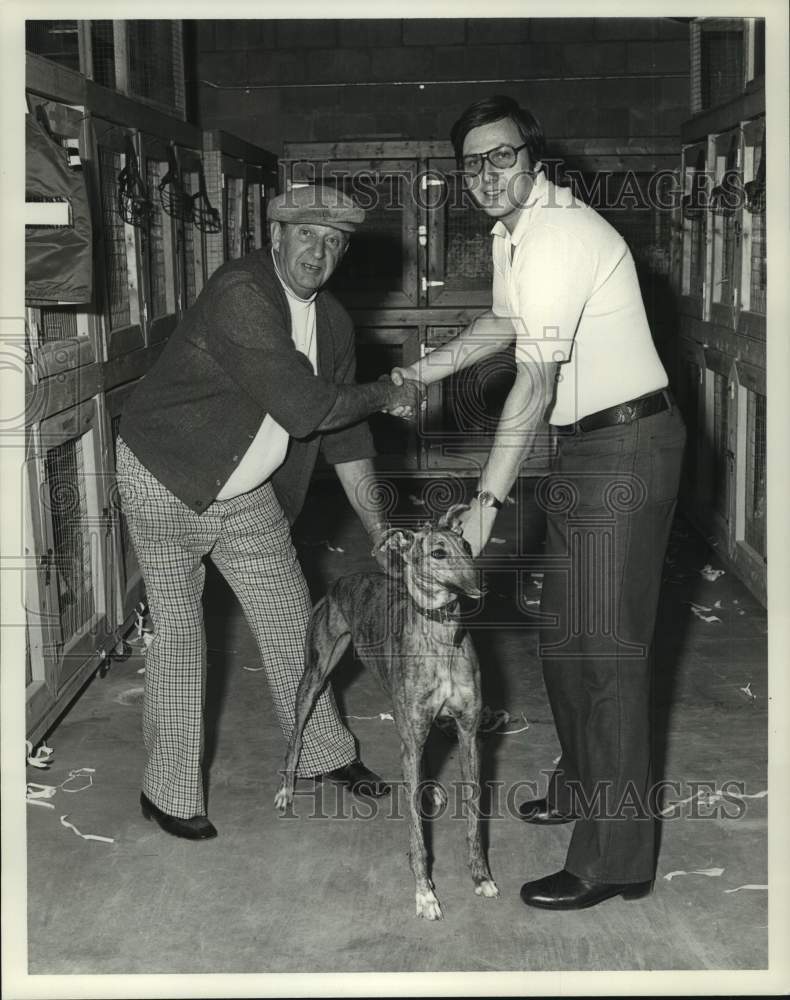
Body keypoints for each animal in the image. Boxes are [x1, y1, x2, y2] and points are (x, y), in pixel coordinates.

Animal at [276, 508, 502, 920]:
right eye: (438, 553)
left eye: (467, 545)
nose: (483, 584)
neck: (440, 639)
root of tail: (344, 580)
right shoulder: (413, 738)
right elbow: (416, 833)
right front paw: (424, 893)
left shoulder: (468, 735)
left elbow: (475, 818)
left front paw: (481, 877)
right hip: (315, 675)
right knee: (296, 735)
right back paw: (286, 788)